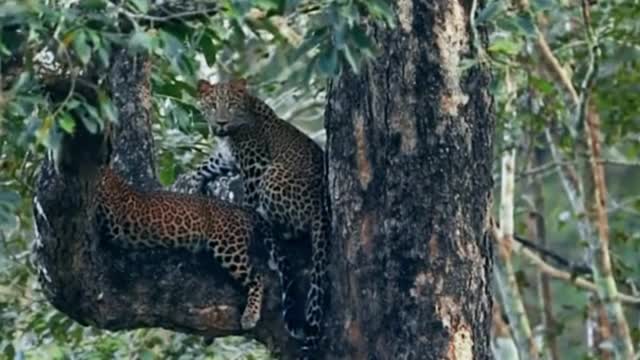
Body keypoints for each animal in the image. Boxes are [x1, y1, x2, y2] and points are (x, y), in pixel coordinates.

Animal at [189, 79, 330, 352]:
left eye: (231, 105)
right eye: (212, 105)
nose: (221, 123)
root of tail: (321, 205)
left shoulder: (255, 168)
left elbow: (251, 204)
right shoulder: (226, 157)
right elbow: (205, 165)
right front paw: (189, 183)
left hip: (273, 174)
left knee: (295, 228)